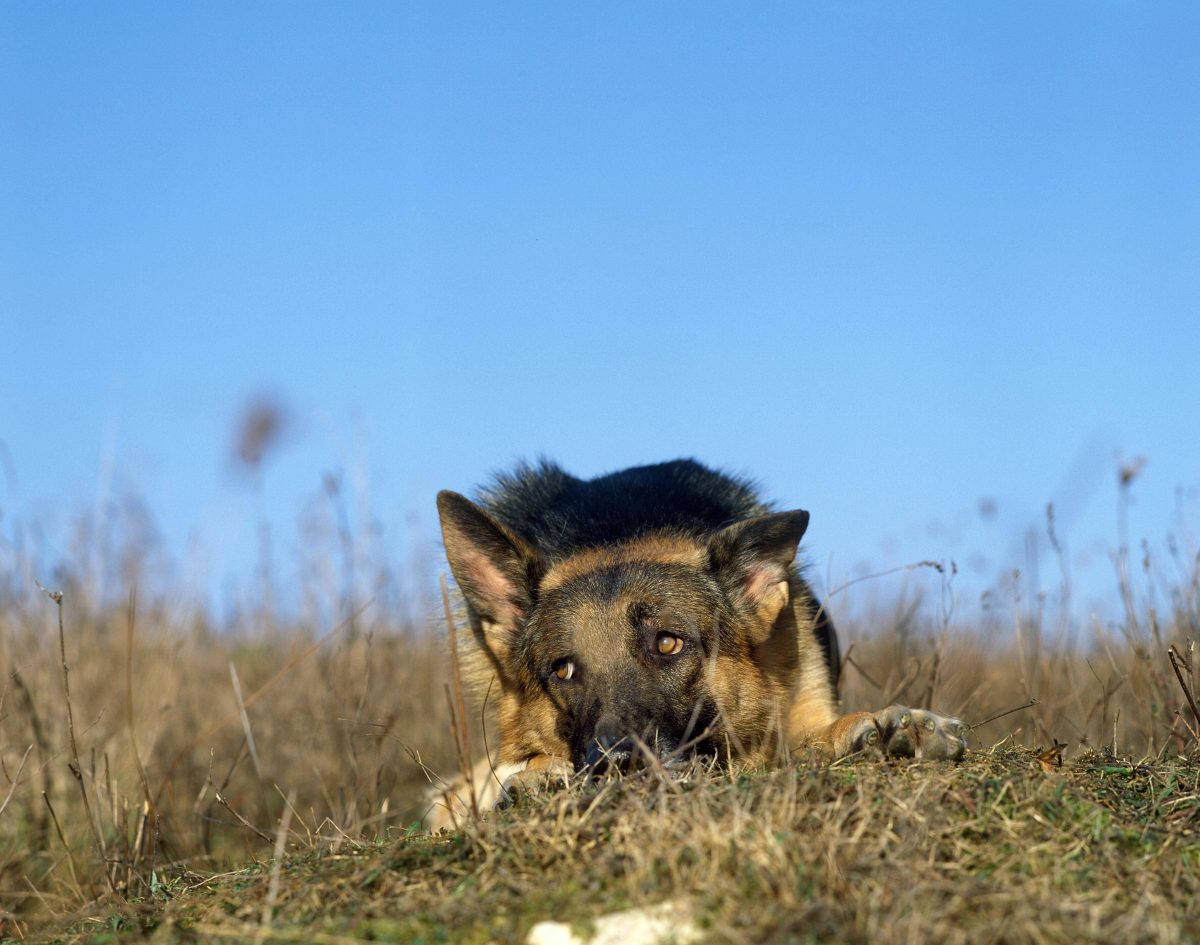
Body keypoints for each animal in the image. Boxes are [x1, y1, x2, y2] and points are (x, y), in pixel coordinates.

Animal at [424, 460, 964, 825]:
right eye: (563, 670)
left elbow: (815, 735)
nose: (615, 765)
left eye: (668, 644)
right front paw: (537, 776)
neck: (619, 529)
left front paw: (893, 727)